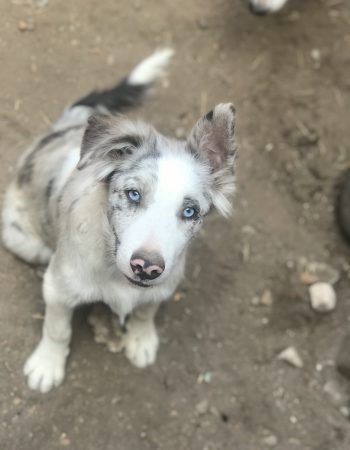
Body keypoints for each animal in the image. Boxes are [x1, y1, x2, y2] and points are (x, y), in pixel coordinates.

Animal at [1, 49, 238, 392]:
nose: (146, 267)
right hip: (21, 238)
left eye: (190, 211)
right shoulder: (58, 289)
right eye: (133, 194)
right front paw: (47, 366)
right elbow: (57, 329)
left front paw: (141, 341)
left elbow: (145, 312)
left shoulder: (164, 285)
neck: (115, 272)